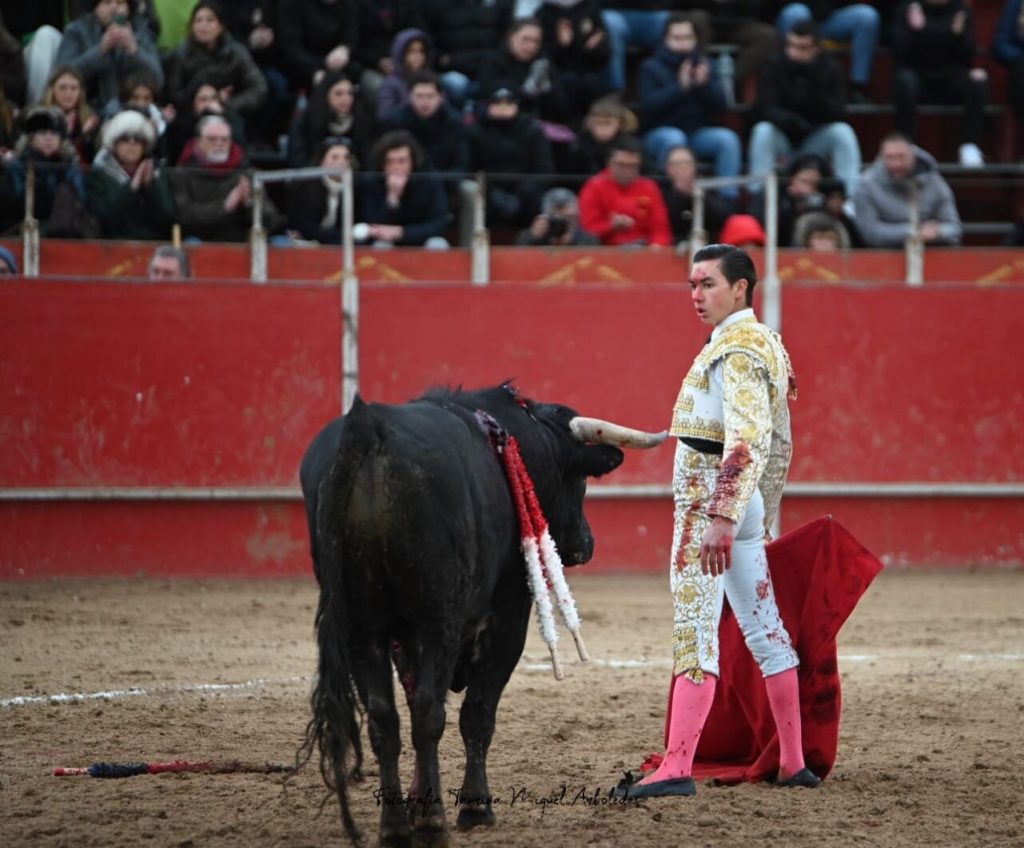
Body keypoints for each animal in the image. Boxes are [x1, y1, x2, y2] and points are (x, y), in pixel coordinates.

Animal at [299, 387, 663, 843]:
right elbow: (477, 712)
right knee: (429, 713)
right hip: (437, 618)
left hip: (359, 626)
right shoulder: (507, 616)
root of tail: (366, 429)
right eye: (578, 480)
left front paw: (421, 800)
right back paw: (433, 823)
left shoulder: (398, 636)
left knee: (385, 719)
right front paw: (474, 807)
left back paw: (396, 826)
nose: (587, 543)